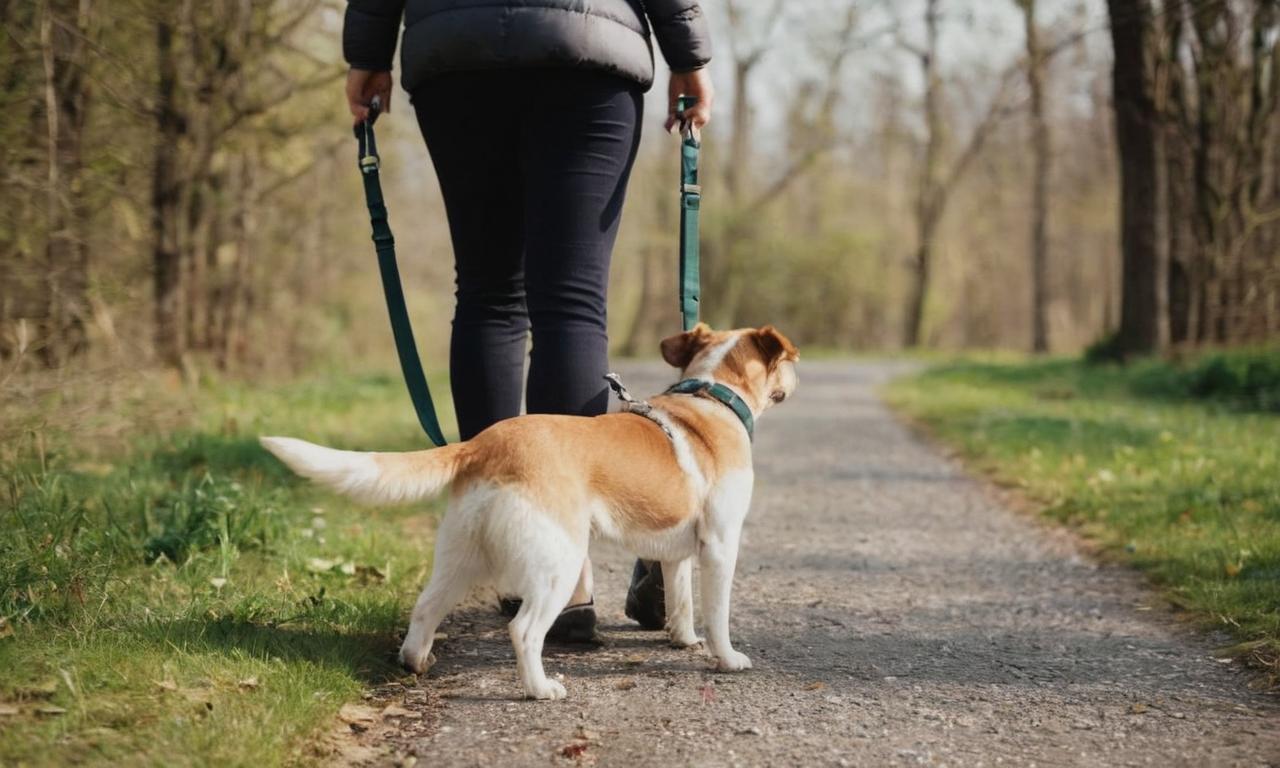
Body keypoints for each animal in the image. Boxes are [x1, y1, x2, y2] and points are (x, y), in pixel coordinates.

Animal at [261, 321, 798, 701]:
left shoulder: (677, 552)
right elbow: (717, 614)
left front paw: (683, 640)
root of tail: (483, 443)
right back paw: (540, 689)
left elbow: (681, 602)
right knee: (522, 631)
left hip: (460, 556)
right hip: (558, 563)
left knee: (425, 609)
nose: (797, 371)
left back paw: (416, 663)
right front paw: (726, 657)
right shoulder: (720, 546)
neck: (712, 395)